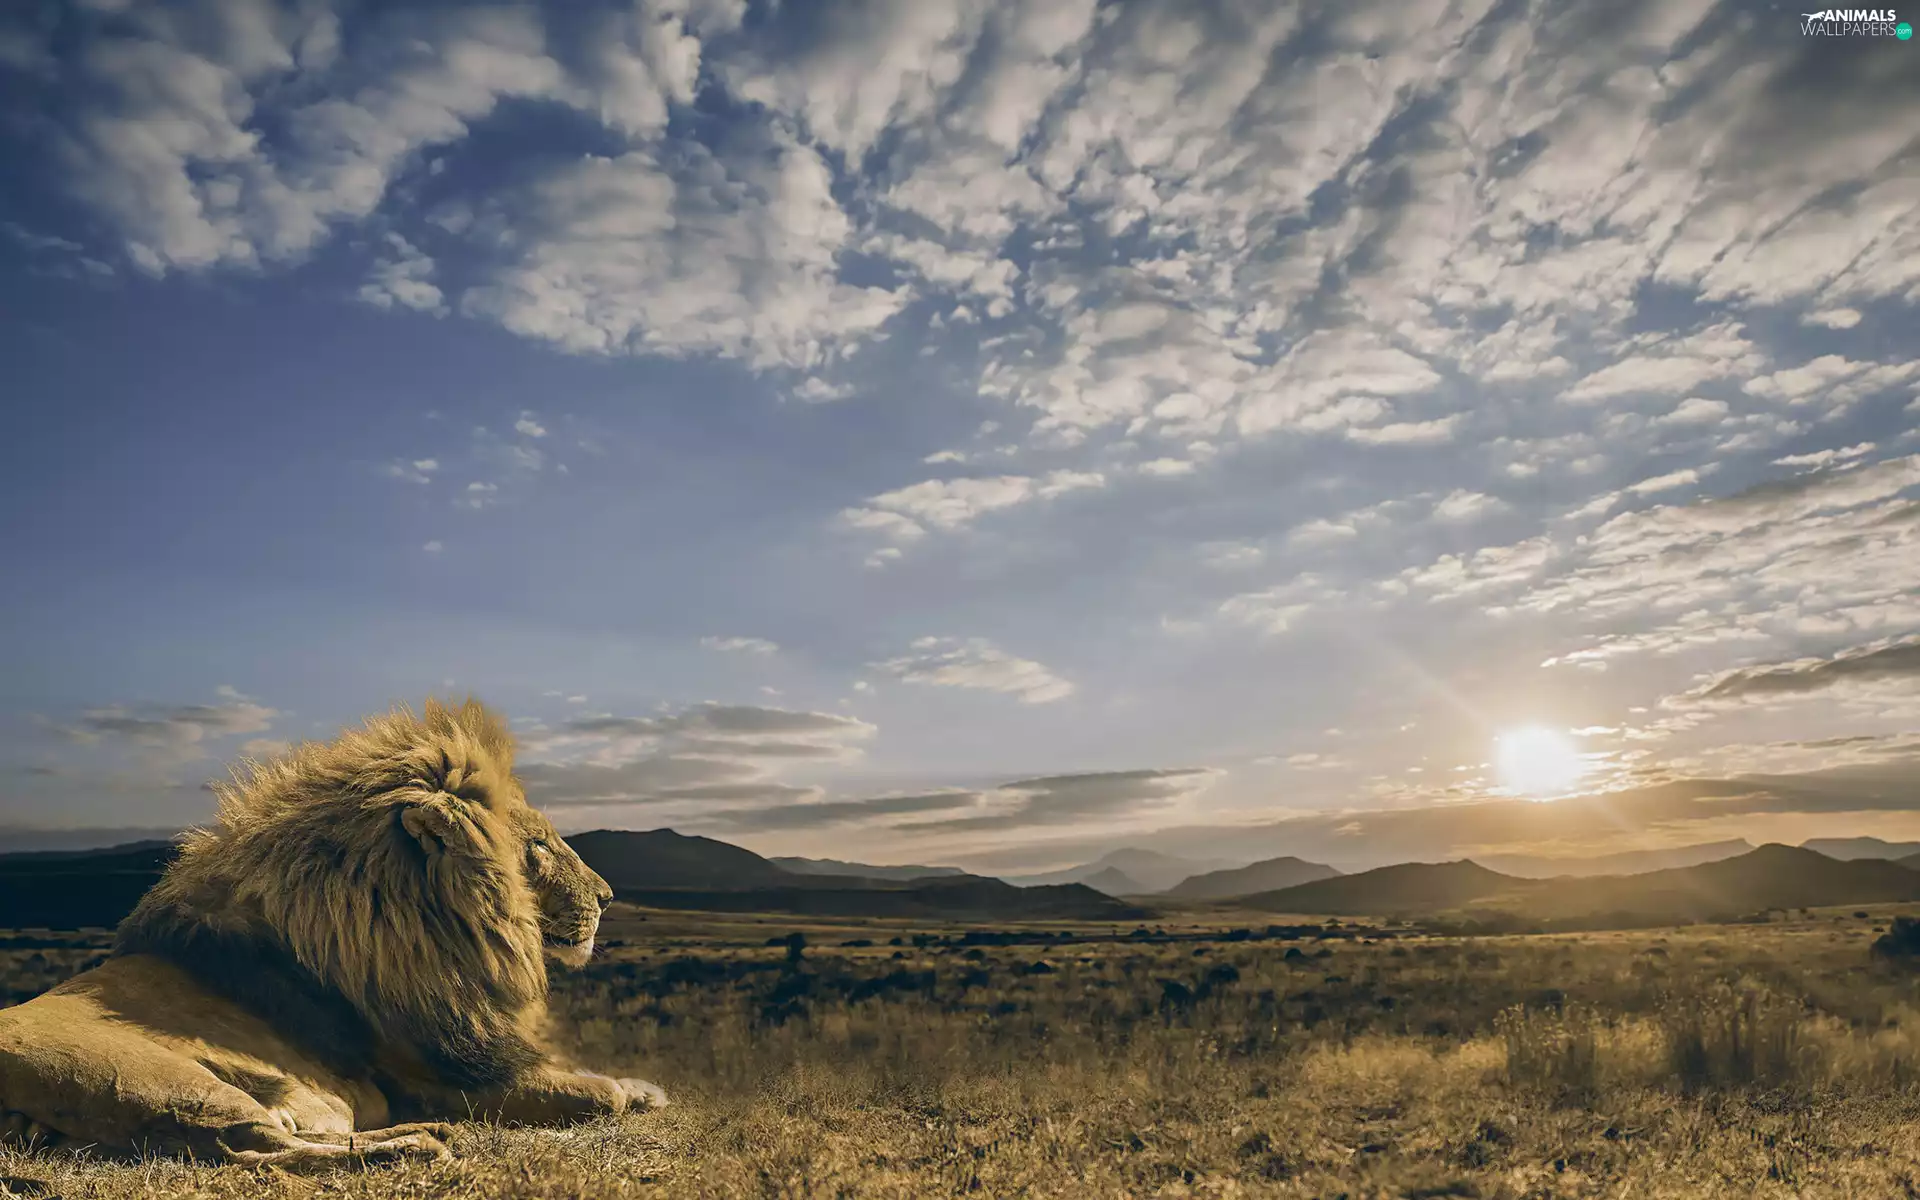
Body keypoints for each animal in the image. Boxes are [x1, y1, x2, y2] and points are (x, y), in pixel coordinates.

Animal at [0, 697, 666, 1168]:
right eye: (538, 846)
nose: (609, 896)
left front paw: (645, 1088)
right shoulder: (447, 1080)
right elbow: (599, 1095)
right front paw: (632, 1091)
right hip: (159, 1082)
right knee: (253, 1147)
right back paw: (421, 1142)